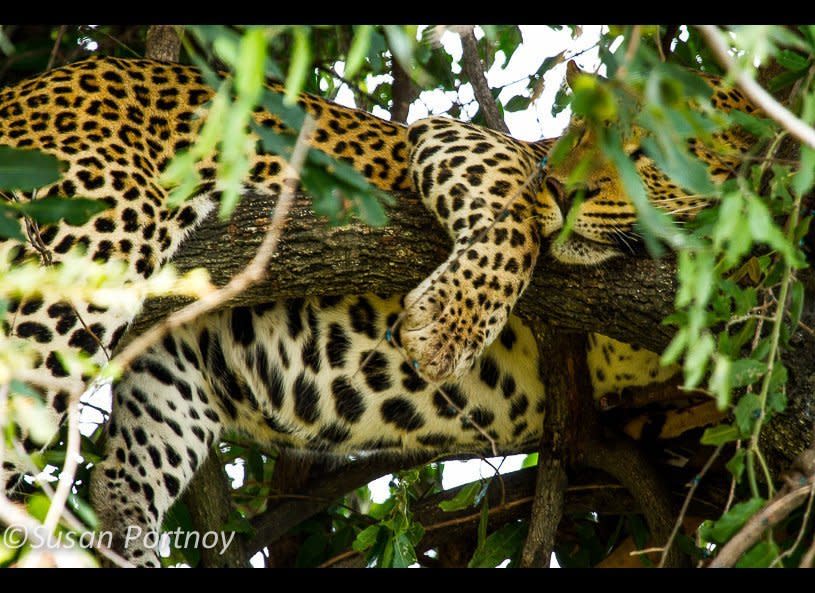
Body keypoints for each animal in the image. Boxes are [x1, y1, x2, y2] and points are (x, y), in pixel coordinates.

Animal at [0, 54, 760, 564]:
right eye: (573, 137)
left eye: (649, 150)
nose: (560, 188)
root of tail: (28, 87)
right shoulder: (464, 139)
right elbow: (509, 222)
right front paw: (446, 326)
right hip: (87, 244)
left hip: (171, 365)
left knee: (121, 479)